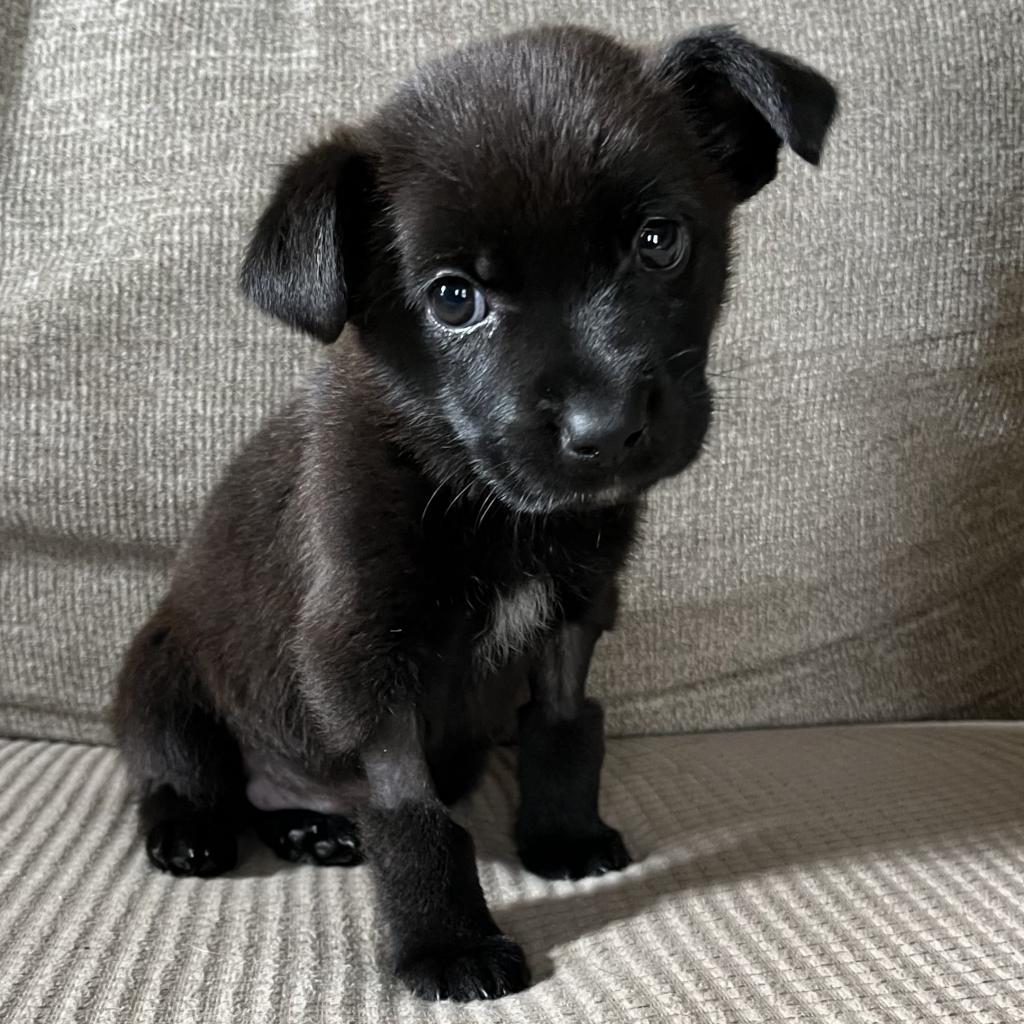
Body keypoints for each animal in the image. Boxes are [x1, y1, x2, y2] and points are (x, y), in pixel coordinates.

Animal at [112, 22, 835, 999]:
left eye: (659, 241)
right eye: (455, 297)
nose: (605, 430)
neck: (495, 509)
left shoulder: (575, 611)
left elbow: (564, 726)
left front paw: (562, 838)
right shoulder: (363, 655)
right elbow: (407, 811)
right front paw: (446, 945)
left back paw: (309, 828)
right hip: (164, 692)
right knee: (177, 779)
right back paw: (191, 832)